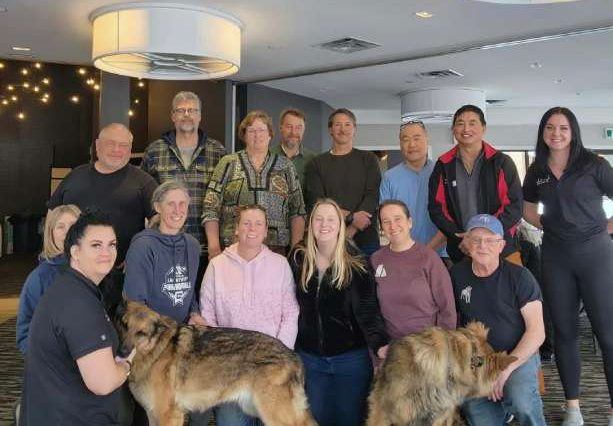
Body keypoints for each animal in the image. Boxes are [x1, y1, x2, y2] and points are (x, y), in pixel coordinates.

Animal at [115, 300, 316, 426]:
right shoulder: (153, 415)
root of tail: (293, 355)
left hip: (275, 415)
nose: (121, 352)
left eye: (141, 333)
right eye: (125, 325)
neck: (155, 351)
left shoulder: (169, 416)